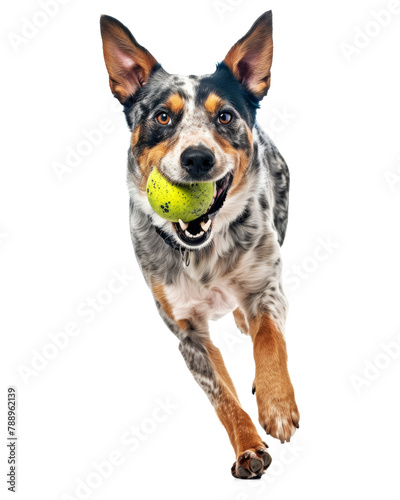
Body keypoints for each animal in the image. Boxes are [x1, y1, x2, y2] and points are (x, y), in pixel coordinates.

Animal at [101, 11, 300, 478]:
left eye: (225, 116)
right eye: (162, 117)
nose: (197, 158)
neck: (203, 252)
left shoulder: (267, 288)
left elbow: (270, 340)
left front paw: (277, 404)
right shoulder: (187, 331)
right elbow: (222, 396)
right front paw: (247, 447)